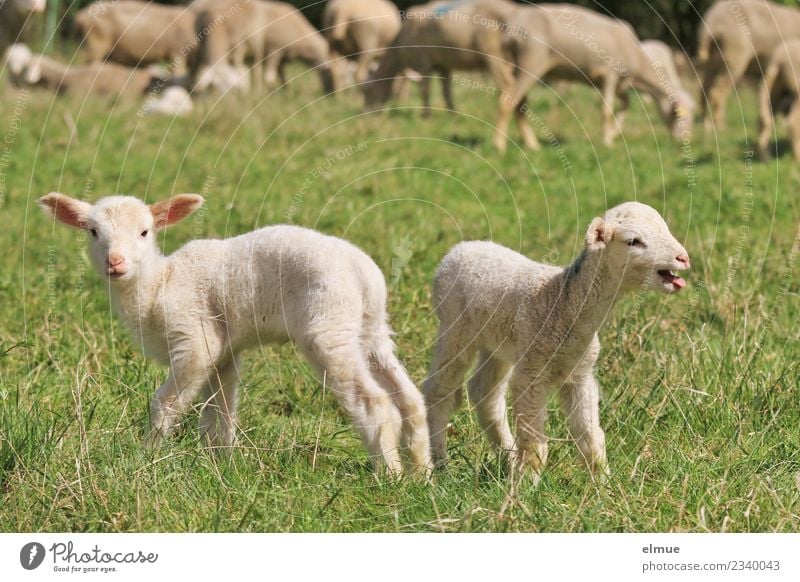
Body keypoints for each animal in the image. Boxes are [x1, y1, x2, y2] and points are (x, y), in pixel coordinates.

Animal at [422, 203, 692, 486]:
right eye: (633, 241)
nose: (683, 258)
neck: (562, 301)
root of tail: (460, 248)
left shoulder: (581, 375)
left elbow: (591, 437)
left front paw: (602, 483)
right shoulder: (531, 374)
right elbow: (535, 443)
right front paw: (528, 484)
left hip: (498, 343)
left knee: (485, 393)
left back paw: (507, 458)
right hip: (454, 327)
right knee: (439, 390)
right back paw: (440, 465)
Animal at [696, 0, 800, 130]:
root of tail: (710, 22)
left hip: (716, 50)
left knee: (706, 82)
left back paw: (705, 124)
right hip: (735, 43)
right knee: (720, 86)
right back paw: (721, 126)